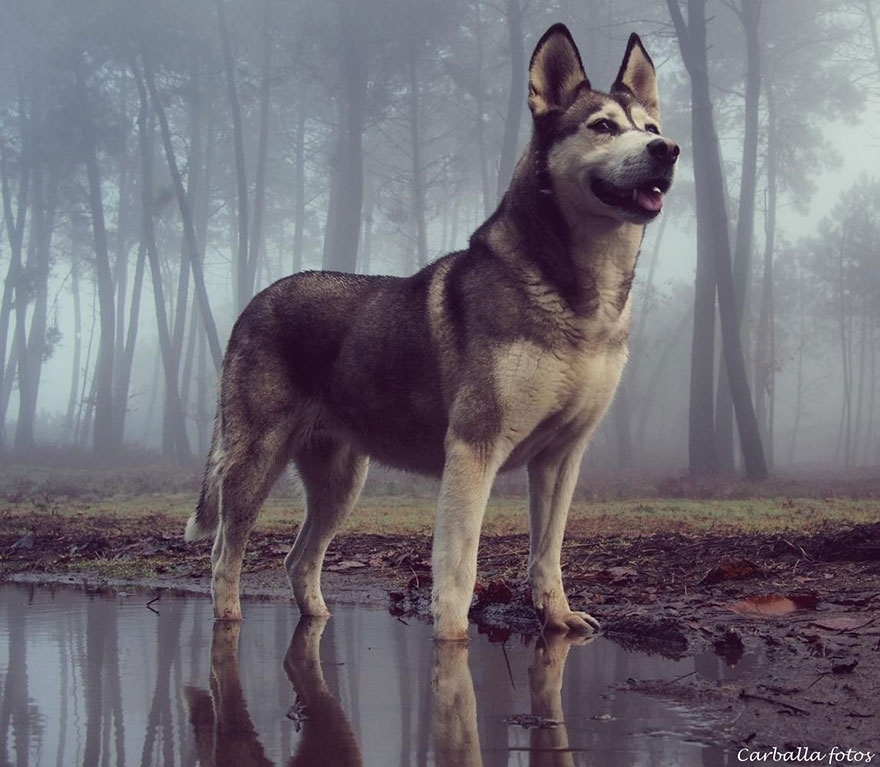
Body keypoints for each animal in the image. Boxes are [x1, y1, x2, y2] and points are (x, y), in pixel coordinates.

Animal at [186, 21, 680, 640]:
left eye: (651, 129)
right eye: (603, 127)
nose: (668, 150)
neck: (576, 300)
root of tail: (256, 299)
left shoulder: (561, 457)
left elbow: (547, 553)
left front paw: (557, 615)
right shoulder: (474, 449)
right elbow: (459, 566)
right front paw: (452, 639)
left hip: (341, 483)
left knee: (298, 559)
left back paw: (319, 617)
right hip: (255, 464)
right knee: (223, 552)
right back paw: (228, 619)